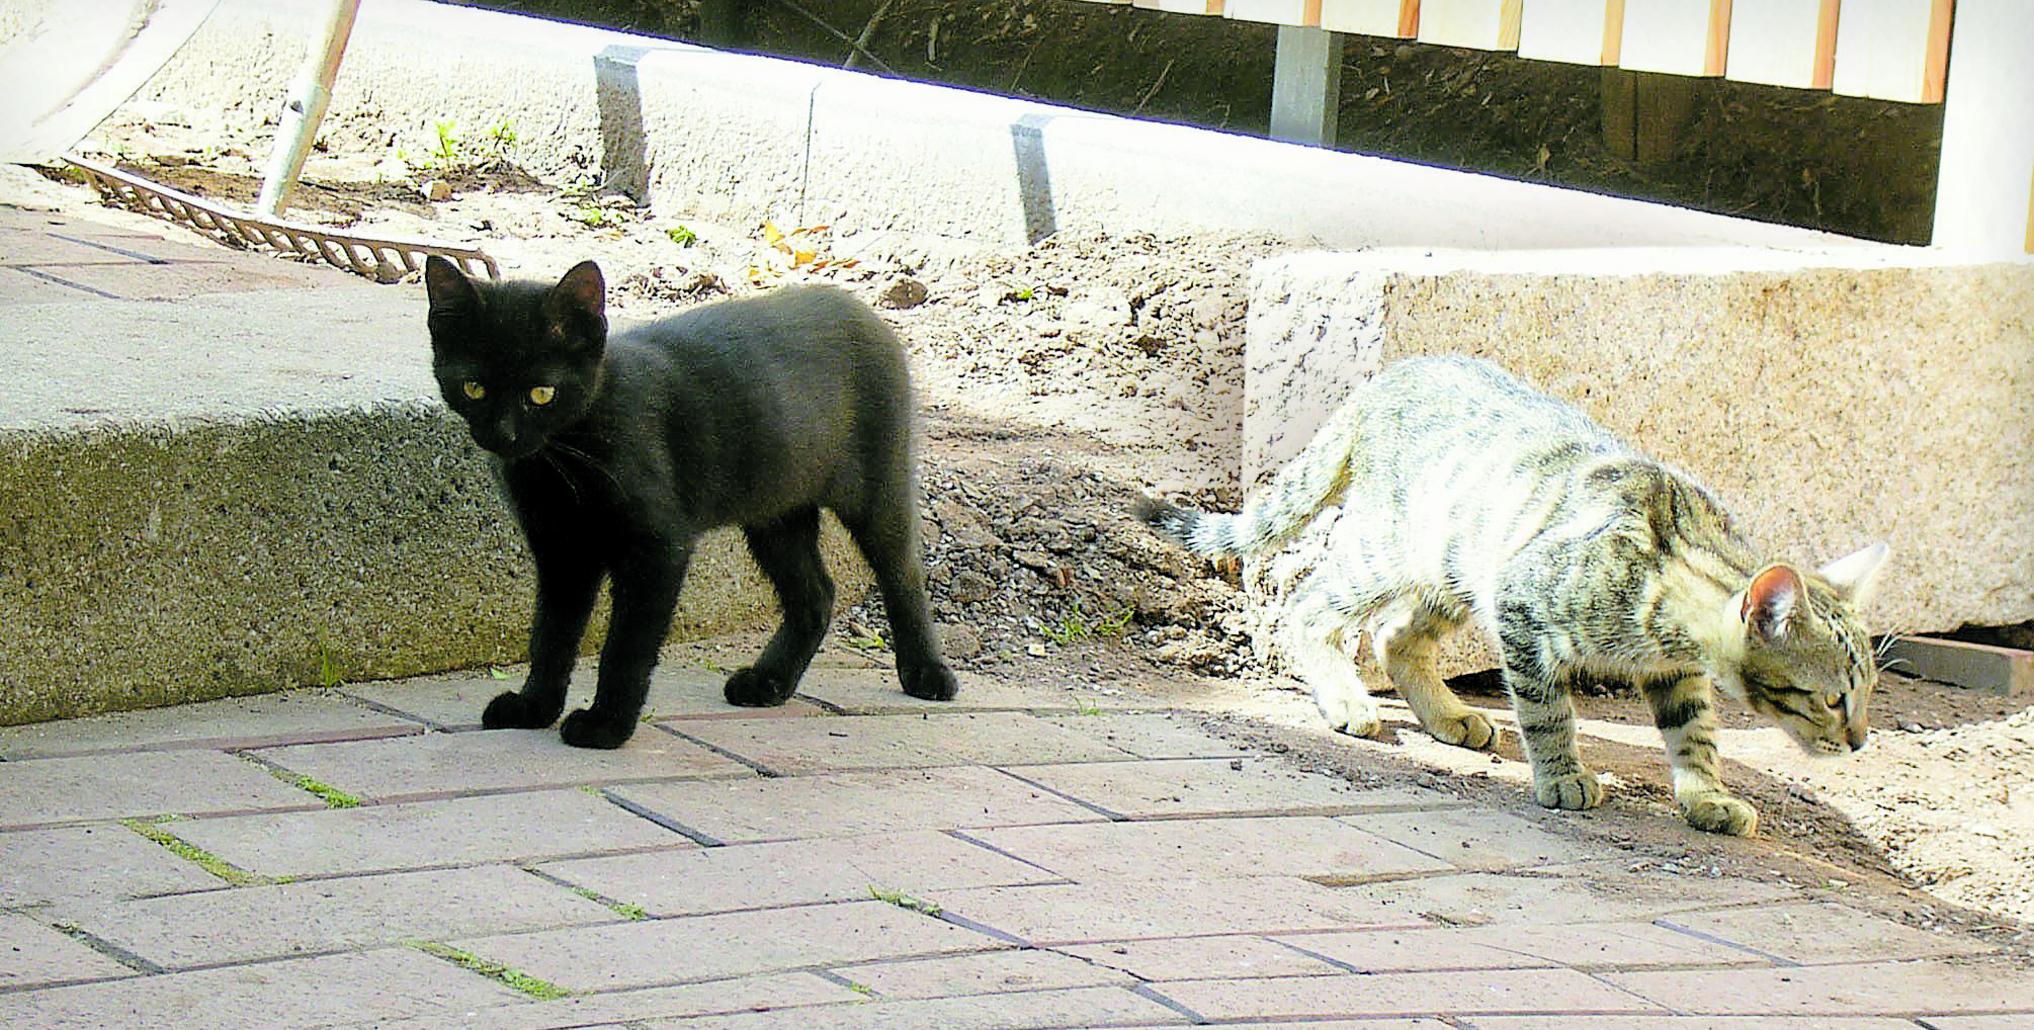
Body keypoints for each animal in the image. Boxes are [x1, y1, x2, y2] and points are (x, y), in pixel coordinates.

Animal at [423, 253, 960, 745]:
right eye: (473, 387)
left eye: (541, 393)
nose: (503, 435)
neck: (564, 456)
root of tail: (859, 306)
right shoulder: (561, 551)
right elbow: (551, 635)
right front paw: (534, 707)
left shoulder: (658, 547)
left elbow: (627, 646)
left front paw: (606, 725)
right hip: (775, 510)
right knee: (816, 593)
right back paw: (767, 682)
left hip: (877, 488)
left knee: (903, 573)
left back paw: (927, 673)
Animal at [1147, 356, 1887, 838]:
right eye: (1831, 699)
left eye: (1868, 695)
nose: (1859, 742)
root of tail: (1389, 375)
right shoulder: (1523, 608)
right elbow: (1548, 709)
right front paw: (1561, 774)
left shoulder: (1675, 671)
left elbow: (1697, 736)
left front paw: (1709, 798)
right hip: (1392, 550)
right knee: (1309, 606)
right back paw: (1346, 700)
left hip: (1455, 569)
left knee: (1394, 636)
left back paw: (1449, 715)